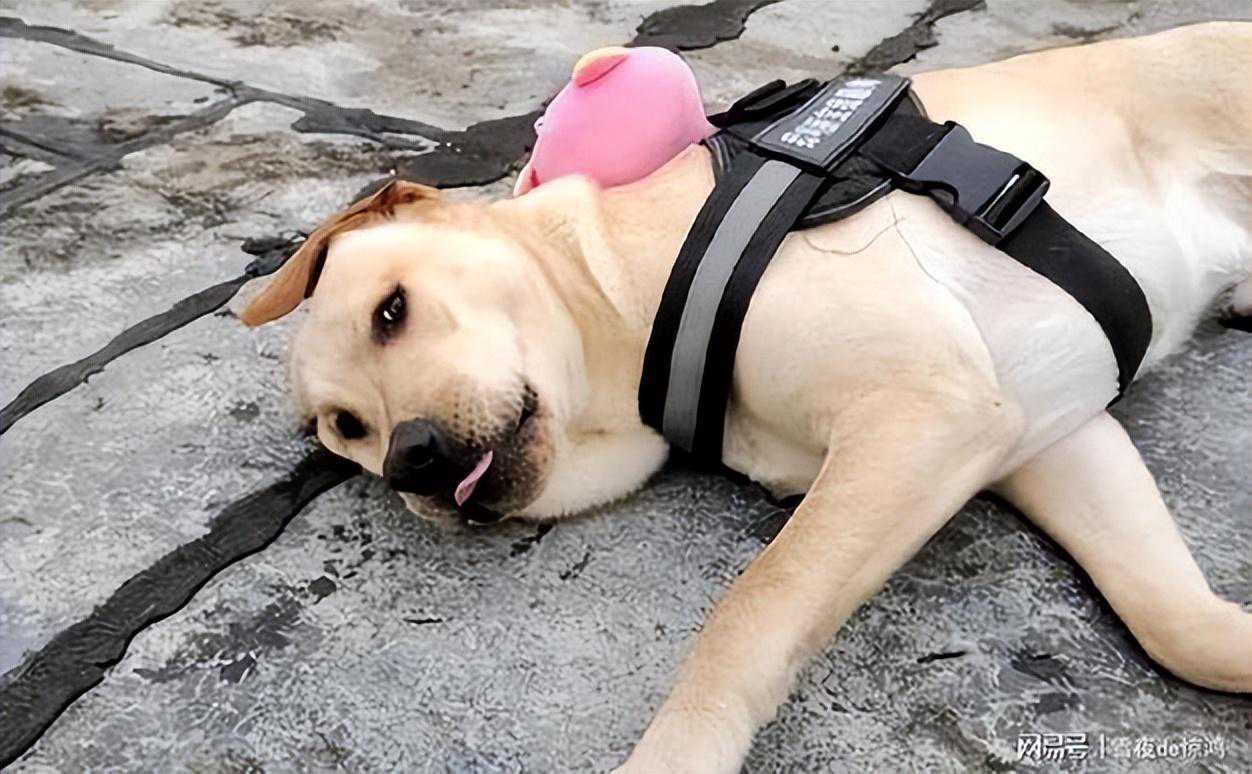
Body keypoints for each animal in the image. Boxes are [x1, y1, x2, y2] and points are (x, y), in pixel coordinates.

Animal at [240, 23, 1252, 772]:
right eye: (347, 430)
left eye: (393, 310)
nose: (409, 461)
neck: (628, 292)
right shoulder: (1050, 433)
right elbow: (1178, 622)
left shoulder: (926, 410)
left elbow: (754, 607)